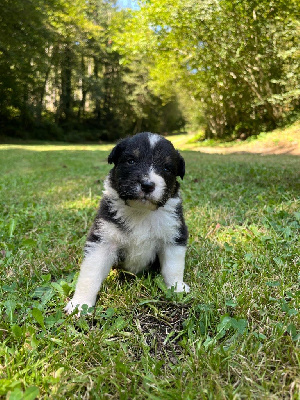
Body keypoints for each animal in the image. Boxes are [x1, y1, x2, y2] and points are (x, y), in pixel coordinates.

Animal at [65, 133, 190, 314]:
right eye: (131, 161)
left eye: (167, 168)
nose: (147, 185)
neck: (141, 212)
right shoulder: (103, 240)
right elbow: (90, 274)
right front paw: (80, 304)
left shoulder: (173, 235)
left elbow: (173, 267)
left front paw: (177, 288)